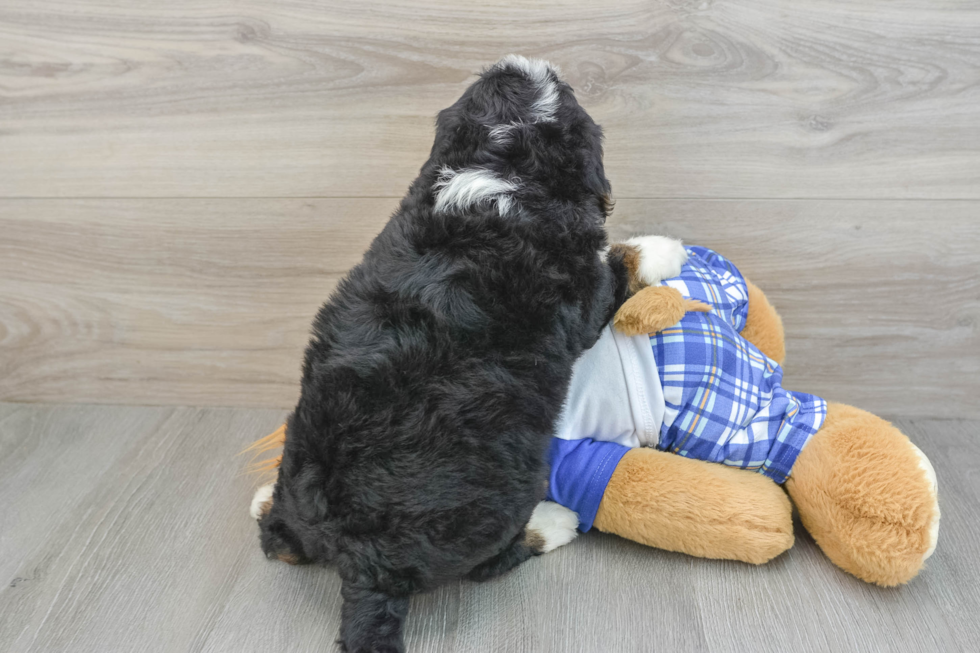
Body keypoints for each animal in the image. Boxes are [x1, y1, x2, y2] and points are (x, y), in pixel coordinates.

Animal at [247, 57, 672, 652]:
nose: (541, 63)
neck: (496, 172)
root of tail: (362, 565)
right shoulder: (581, 299)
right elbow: (616, 267)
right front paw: (660, 250)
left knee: (279, 542)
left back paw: (267, 502)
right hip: (507, 491)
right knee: (491, 562)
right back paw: (554, 522)